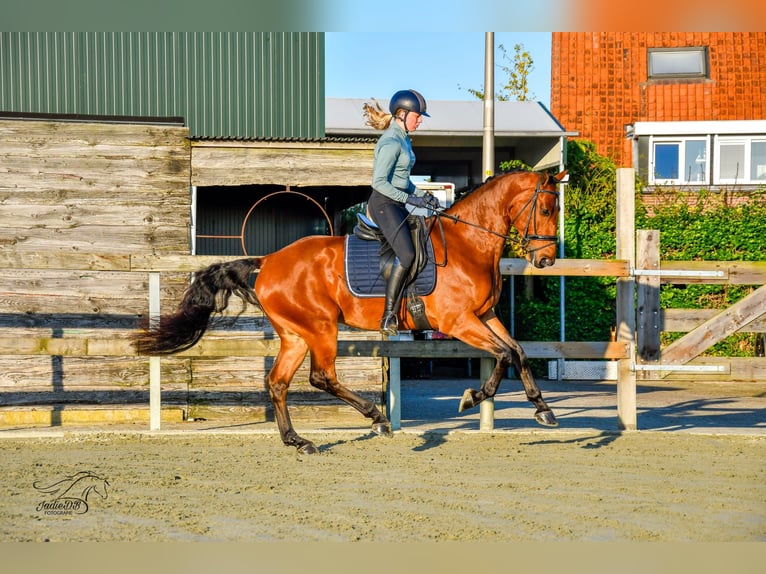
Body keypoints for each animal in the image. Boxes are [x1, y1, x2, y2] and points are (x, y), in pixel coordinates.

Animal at [132, 170, 568, 454]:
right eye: (547, 209)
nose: (545, 260)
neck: (468, 244)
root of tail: (268, 261)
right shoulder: (459, 321)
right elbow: (504, 355)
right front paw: (472, 396)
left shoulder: (487, 315)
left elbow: (519, 352)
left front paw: (543, 409)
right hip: (321, 327)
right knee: (321, 377)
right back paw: (376, 417)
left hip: (295, 334)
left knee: (278, 382)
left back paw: (298, 441)